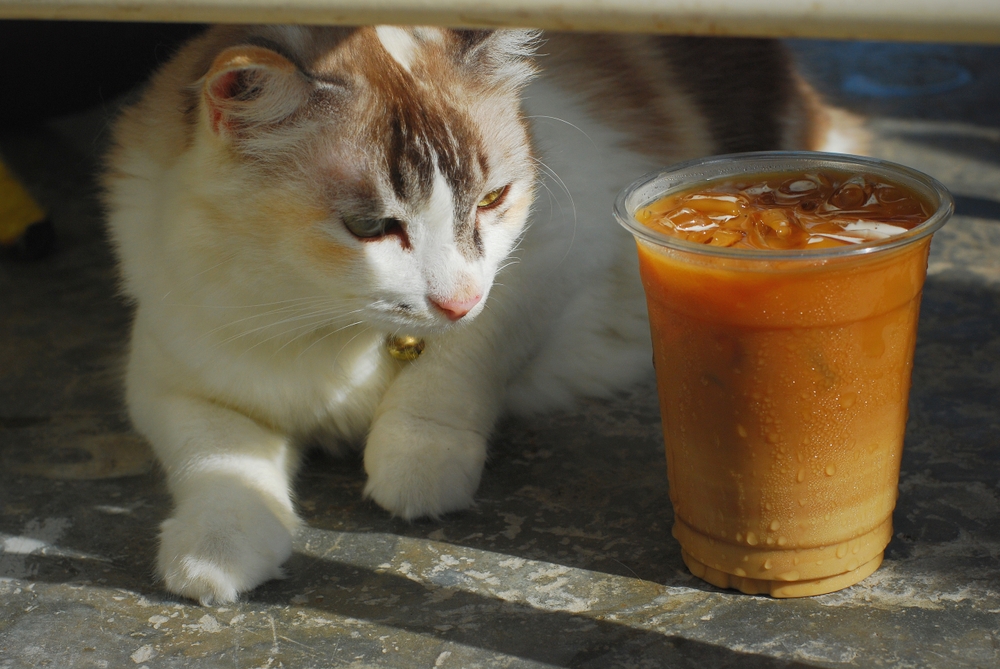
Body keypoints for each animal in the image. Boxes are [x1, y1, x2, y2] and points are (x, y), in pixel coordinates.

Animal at [101, 26, 836, 604]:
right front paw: (216, 553)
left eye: (492, 199)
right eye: (368, 227)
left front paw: (416, 458)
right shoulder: (169, 372)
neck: (336, 332)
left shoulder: (553, 254)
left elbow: (462, 361)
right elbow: (219, 458)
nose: (454, 300)